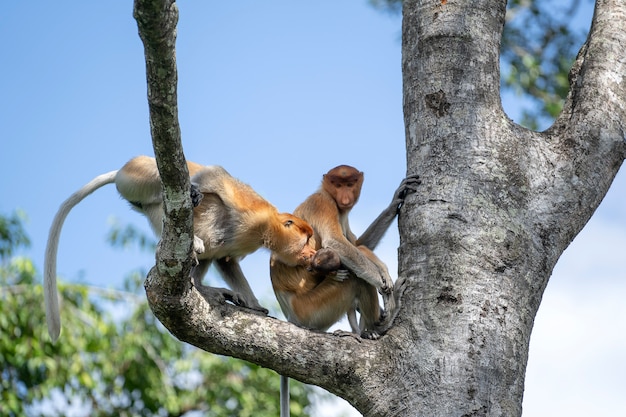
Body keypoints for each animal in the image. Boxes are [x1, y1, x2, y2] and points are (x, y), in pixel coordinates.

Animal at [44, 154, 314, 340]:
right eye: (307, 238)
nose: (311, 253)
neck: (267, 228)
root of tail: (122, 169)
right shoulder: (251, 209)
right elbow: (214, 175)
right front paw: (196, 189)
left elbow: (225, 260)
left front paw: (253, 304)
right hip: (138, 175)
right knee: (164, 187)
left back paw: (203, 285)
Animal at [270, 166, 420, 416]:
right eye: (337, 185)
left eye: (350, 184)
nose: (345, 196)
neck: (329, 195)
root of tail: (290, 315)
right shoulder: (323, 204)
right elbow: (338, 243)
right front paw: (384, 285)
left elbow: (358, 243)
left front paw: (395, 200)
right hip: (314, 309)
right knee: (354, 279)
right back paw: (379, 325)